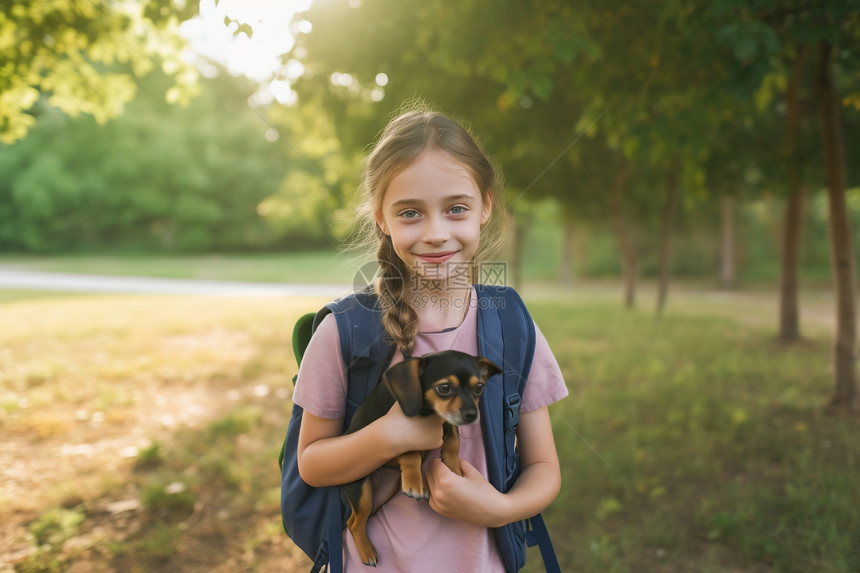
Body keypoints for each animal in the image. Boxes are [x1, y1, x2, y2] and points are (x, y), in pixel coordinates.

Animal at [342, 348, 500, 564]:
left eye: (478, 387)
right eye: (444, 388)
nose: (471, 415)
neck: (428, 412)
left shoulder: (446, 420)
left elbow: (453, 438)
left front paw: (453, 467)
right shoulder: (394, 434)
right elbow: (410, 453)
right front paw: (415, 483)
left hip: (380, 495)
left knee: (353, 520)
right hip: (361, 491)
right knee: (355, 523)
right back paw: (368, 553)